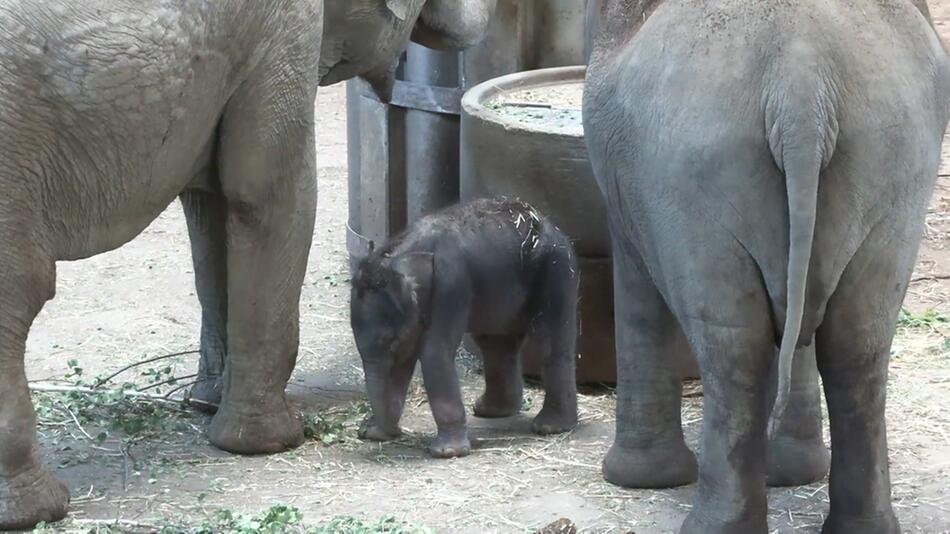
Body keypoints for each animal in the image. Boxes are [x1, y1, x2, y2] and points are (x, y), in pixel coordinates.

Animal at [1, 0, 498, 532]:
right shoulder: (284, 32)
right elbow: (268, 196)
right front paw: (270, 442)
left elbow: (210, 207)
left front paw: (205, 404)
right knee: (21, 291)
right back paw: (39, 509)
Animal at [352, 199, 580, 458]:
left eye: (391, 341)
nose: (395, 433)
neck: (399, 253)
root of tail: (548, 222)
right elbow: (404, 362)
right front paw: (373, 433)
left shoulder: (450, 284)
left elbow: (434, 352)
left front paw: (447, 452)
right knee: (496, 343)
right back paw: (490, 410)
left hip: (556, 269)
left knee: (549, 341)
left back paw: (550, 427)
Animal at [584, 1, 948, 534]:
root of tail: (802, 82)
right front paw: (790, 473)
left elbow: (637, 286)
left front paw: (638, 480)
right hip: (894, 166)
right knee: (858, 343)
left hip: (694, 172)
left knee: (732, 347)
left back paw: (711, 527)